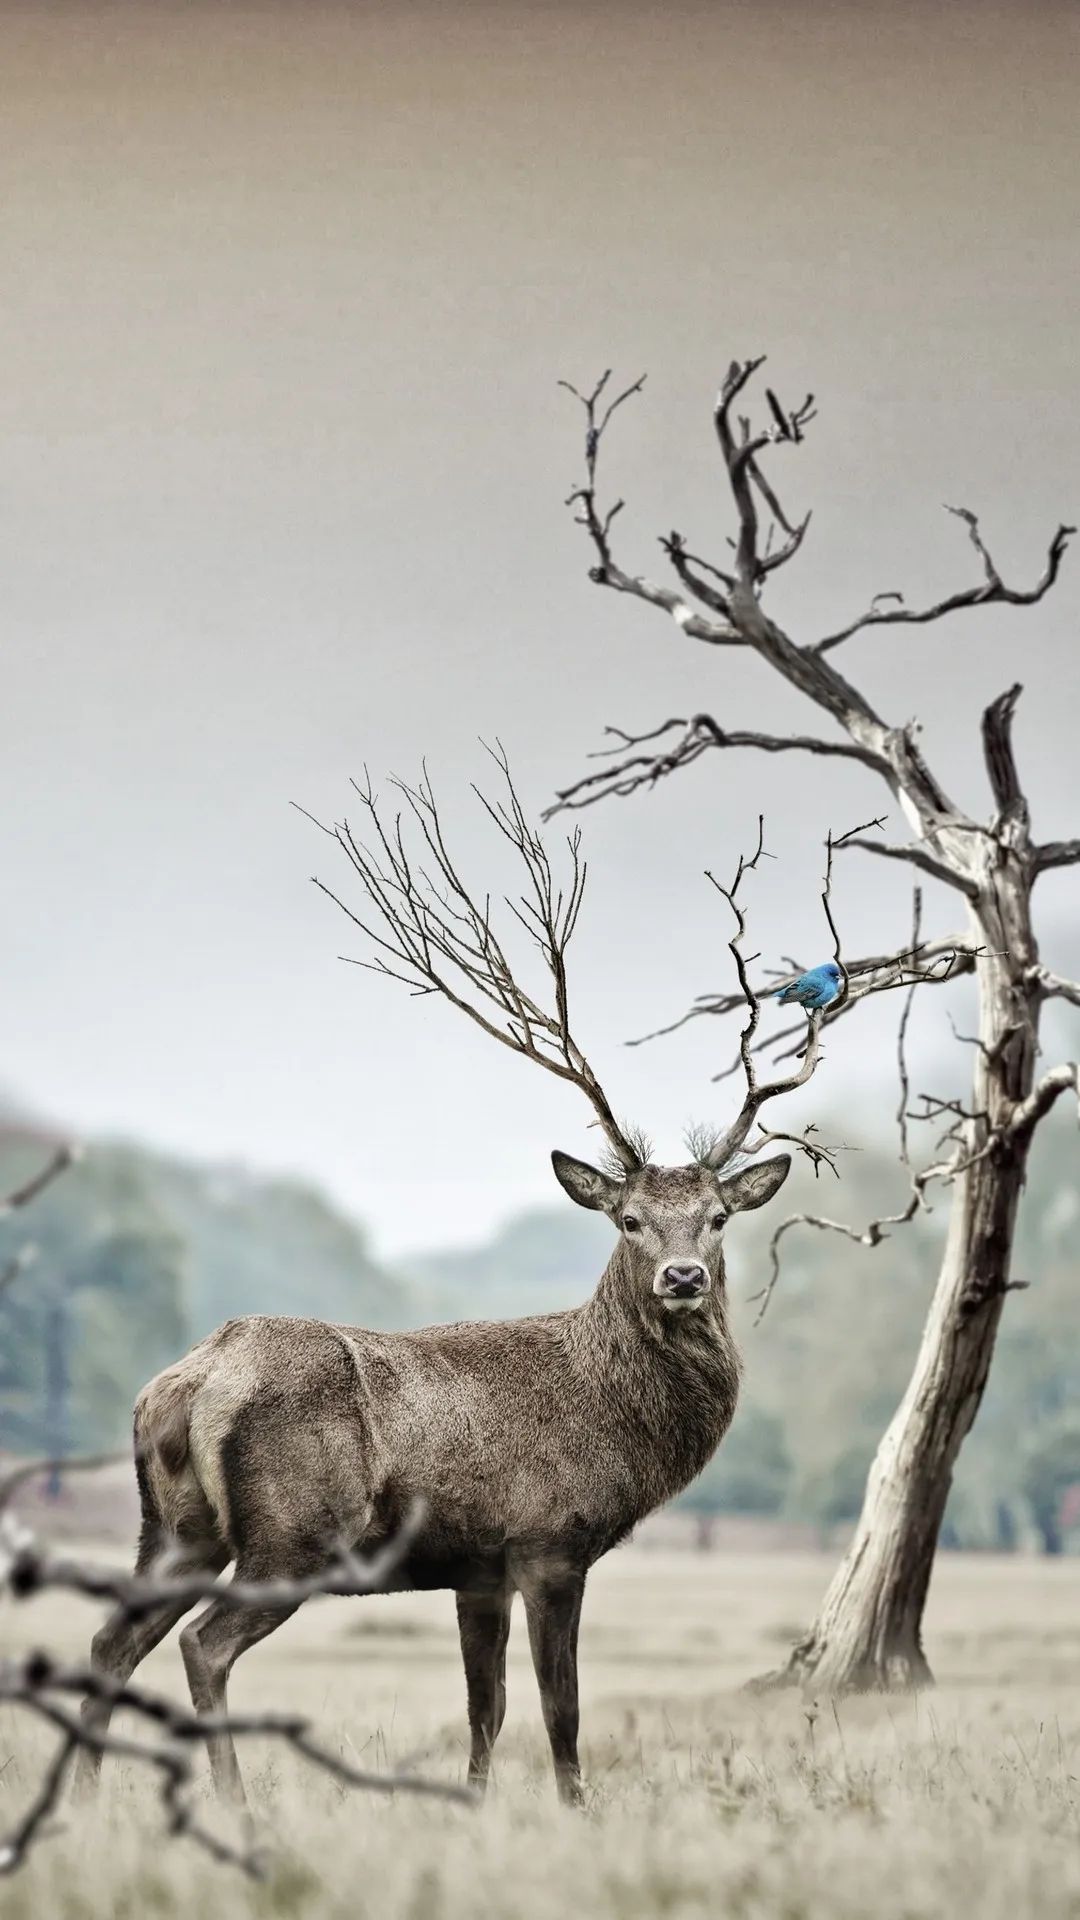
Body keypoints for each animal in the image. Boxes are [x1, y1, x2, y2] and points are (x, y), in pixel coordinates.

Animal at [75, 755, 825, 1809]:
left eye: (718, 1219)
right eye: (629, 1220)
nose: (682, 1277)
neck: (616, 1422)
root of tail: (186, 1382)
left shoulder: (478, 1567)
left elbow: (486, 1708)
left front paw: (472, 1804)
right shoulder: (550, 1540)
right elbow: (559, 1708)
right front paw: (576, 1810)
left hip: (177, 1526)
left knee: (112, 1640)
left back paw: (85, 1797)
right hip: (295, 1533)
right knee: (201, 1646)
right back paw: (232, 1797)